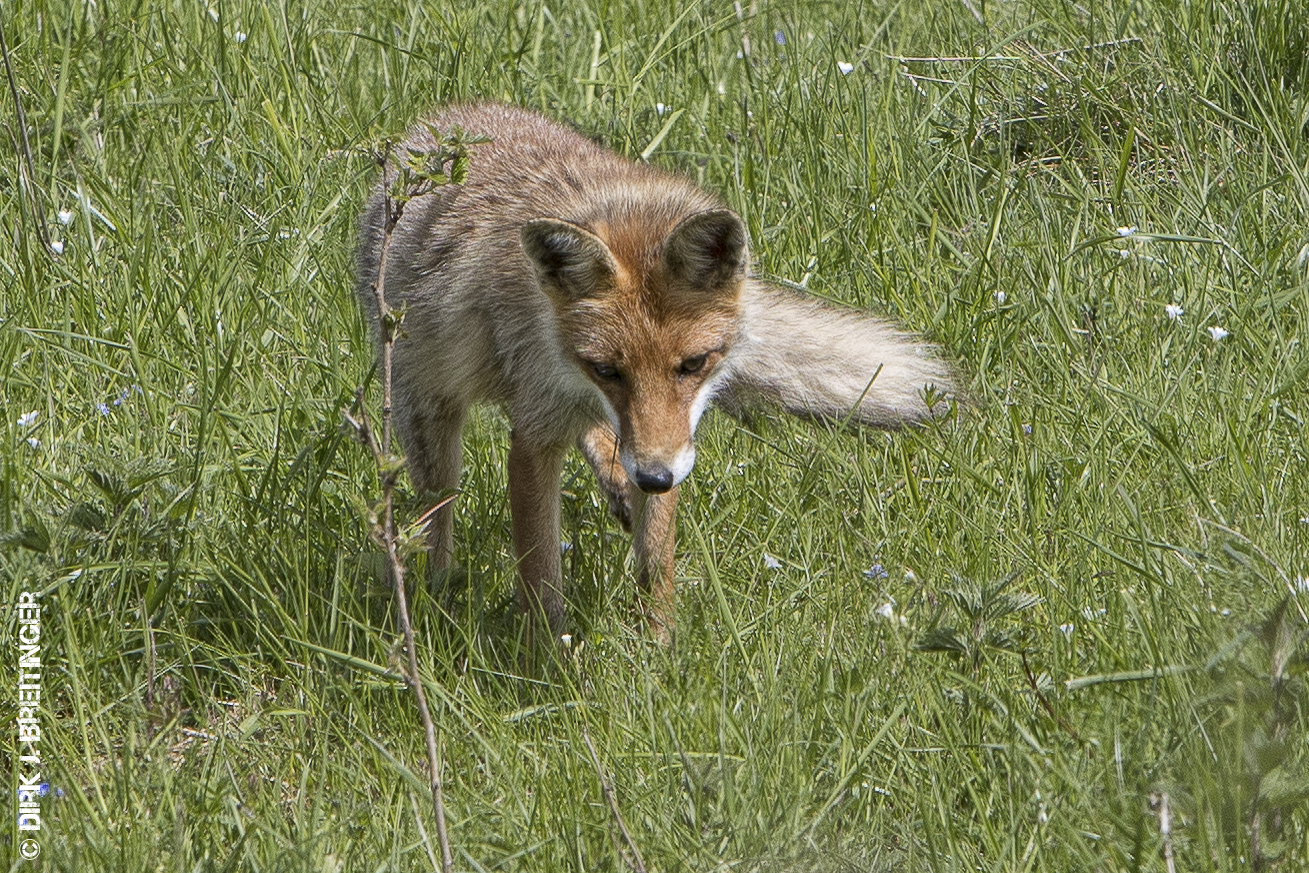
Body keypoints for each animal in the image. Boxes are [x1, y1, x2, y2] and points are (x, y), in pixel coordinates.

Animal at [356, 106, 952, 646]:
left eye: (693, 365)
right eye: (605, 369)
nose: (653, 479)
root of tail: (446, 117)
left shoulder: (668, 439)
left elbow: (654, 562)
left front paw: (659, 653)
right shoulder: (537, 431)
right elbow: (542, 578)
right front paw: (550, 666)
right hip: (428, 415)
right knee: (437, 518)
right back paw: (429, 596)